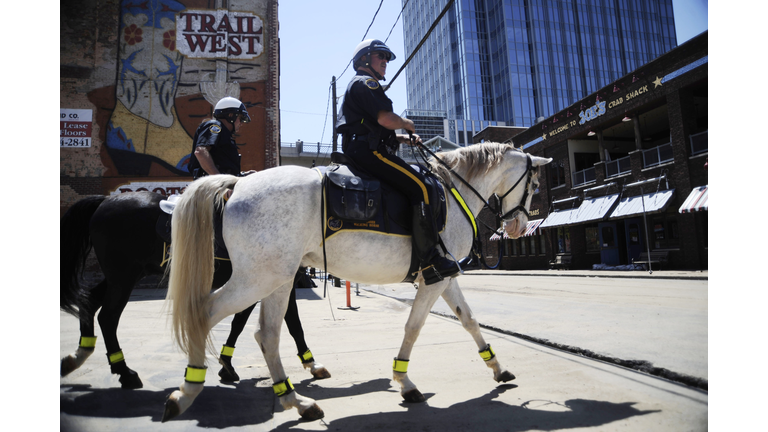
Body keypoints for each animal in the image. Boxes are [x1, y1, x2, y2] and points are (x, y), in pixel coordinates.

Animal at [162, 143, 548, 422]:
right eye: (534, 185)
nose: (518, 227)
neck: (453, 193)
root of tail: (239, 182)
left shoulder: (444, 276)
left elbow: (469, 319)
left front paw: (497, 368)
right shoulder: (435, 279)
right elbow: (414, 326)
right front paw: (405, 382)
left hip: (278, 278)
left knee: (267, 334)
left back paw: (296, 401)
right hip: (259, 277)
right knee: (206, 312)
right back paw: (188, 389)